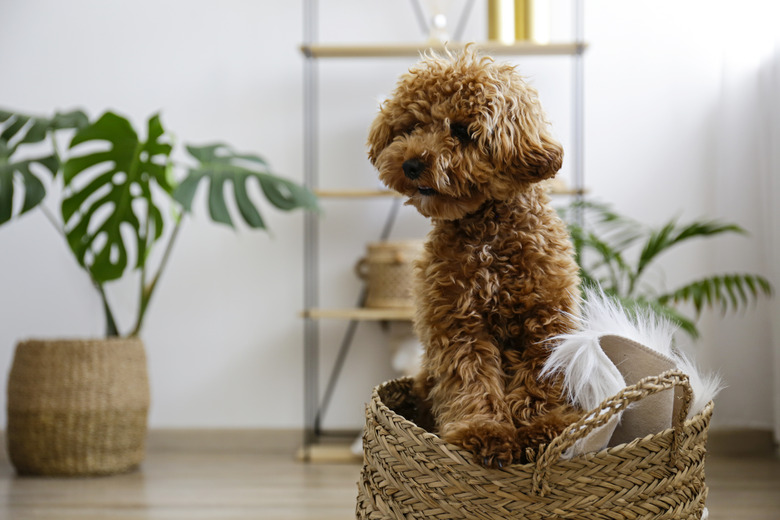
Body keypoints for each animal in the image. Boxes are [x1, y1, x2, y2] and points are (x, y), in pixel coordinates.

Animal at [368, 47, 580, 468]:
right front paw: (484, 433)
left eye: (463, 131)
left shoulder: (546, 320)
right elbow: (471, 380)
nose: (411, 164)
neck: (487, 230)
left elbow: (542, 379)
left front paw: (543, 429)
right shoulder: (457, 324)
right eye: (411, 126)